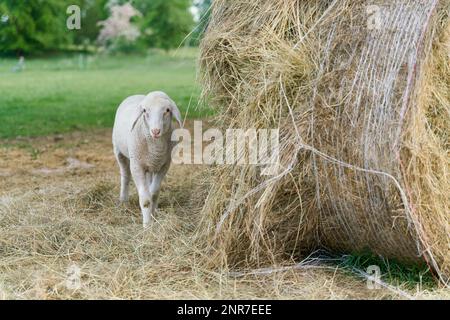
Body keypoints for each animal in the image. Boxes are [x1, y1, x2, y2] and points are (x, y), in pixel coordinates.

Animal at [112, 90, 183, 228]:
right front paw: (147, 225)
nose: (155, 131)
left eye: (167, 110)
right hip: (119, 151)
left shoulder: (164, 166)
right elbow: (145, 199)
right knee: (125, 175)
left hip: (151, 164)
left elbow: (154, 193)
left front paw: (153, 214)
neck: (155, 146)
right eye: (144, 110)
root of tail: (136, 94)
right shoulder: (137, 167)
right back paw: (123, 200)